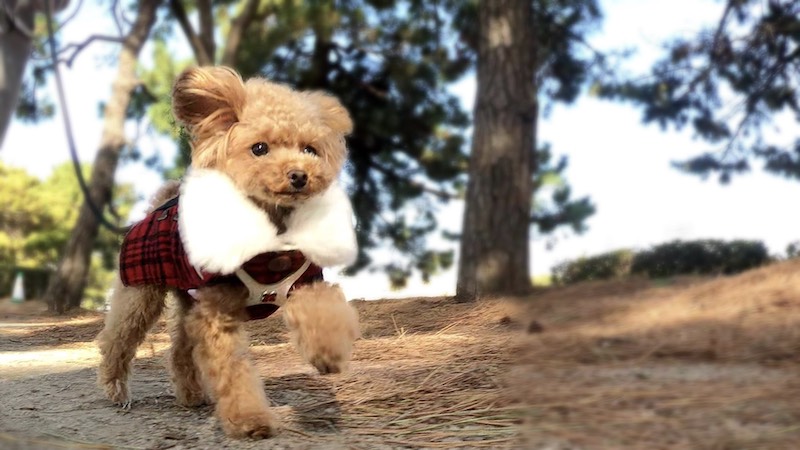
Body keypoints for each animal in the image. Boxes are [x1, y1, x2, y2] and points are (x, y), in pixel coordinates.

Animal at [97, 67, 362, 440]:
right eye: (259, 148)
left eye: (310, 149)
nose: (299, 175)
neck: (270, 237)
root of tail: (158, 204)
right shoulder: (217, 311)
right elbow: (232, 371)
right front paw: (250, 419)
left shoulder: (303, 281)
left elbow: (323, 310)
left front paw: (328, 353)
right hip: (139, 294)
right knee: (117, 339)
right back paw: (116, 389)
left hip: (187, 299)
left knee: (180, 351)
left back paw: (192, 395)